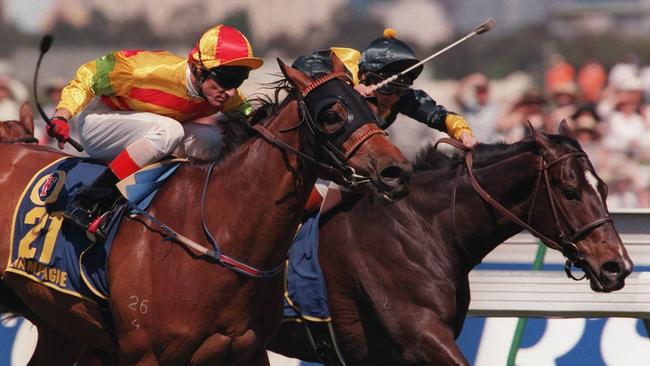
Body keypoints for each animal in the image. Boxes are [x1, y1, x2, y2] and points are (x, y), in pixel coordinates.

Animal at [0, 55, 410, 364]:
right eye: (332, 115)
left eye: (371, 107)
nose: (396, 171)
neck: (219, 230)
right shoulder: (144, 353)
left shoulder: (248, 351)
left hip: (59, 325)